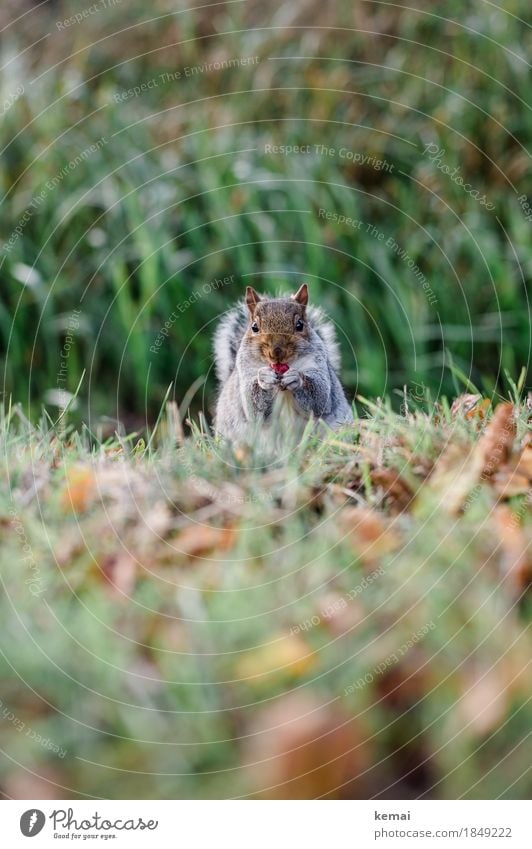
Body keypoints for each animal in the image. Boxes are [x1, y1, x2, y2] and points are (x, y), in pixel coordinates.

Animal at [212, 284, 354, 444]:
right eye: (254, 327)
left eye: (300, 325)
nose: (277, 352)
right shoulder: (245, 369)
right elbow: (252, 407)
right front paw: (264, 378)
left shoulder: (318, 364)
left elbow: (320, 397)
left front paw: (296, 378)